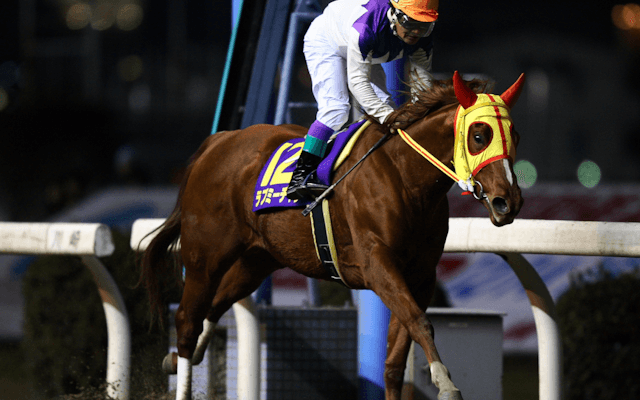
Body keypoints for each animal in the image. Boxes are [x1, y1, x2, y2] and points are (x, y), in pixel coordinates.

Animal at [138, 71, 525, 400]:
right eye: (479, 136)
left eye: (515, 136)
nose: (508, 202)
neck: (405, 177)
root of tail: (217, 143)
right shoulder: (376, 263)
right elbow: (419, 321)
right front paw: (445, 384)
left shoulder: (421, 275)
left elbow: (395, 361)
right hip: (205, 255)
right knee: (186, 321)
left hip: (256, 262)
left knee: (215, 306)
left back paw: (180, 357)